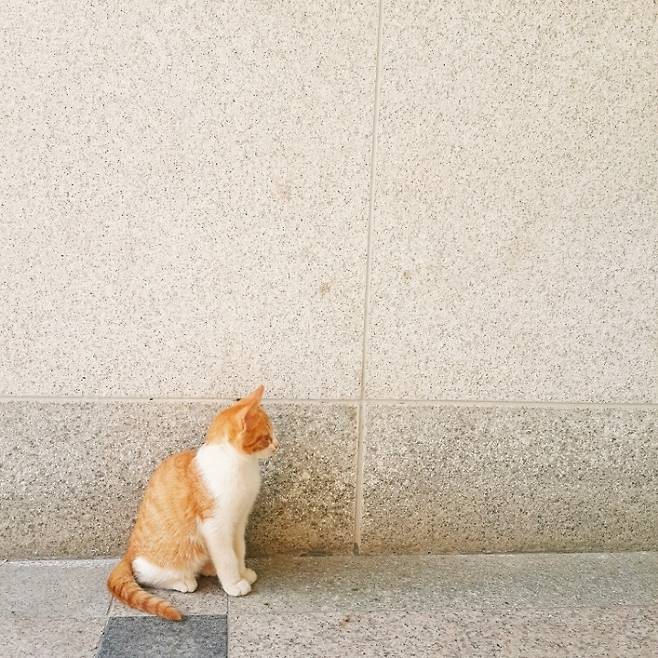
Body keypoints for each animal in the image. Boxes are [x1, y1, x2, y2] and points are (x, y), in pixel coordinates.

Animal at [107, 385, 277, 620]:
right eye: (267, 437)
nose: (277, 445)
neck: (240, 465)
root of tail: (129, 551)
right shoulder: (215, 525)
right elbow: (227, 557)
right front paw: (234, 583)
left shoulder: (239, 521)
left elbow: (239, 550)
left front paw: (242, 572)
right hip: (168, 557)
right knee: (145, 574)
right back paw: (183, 581)